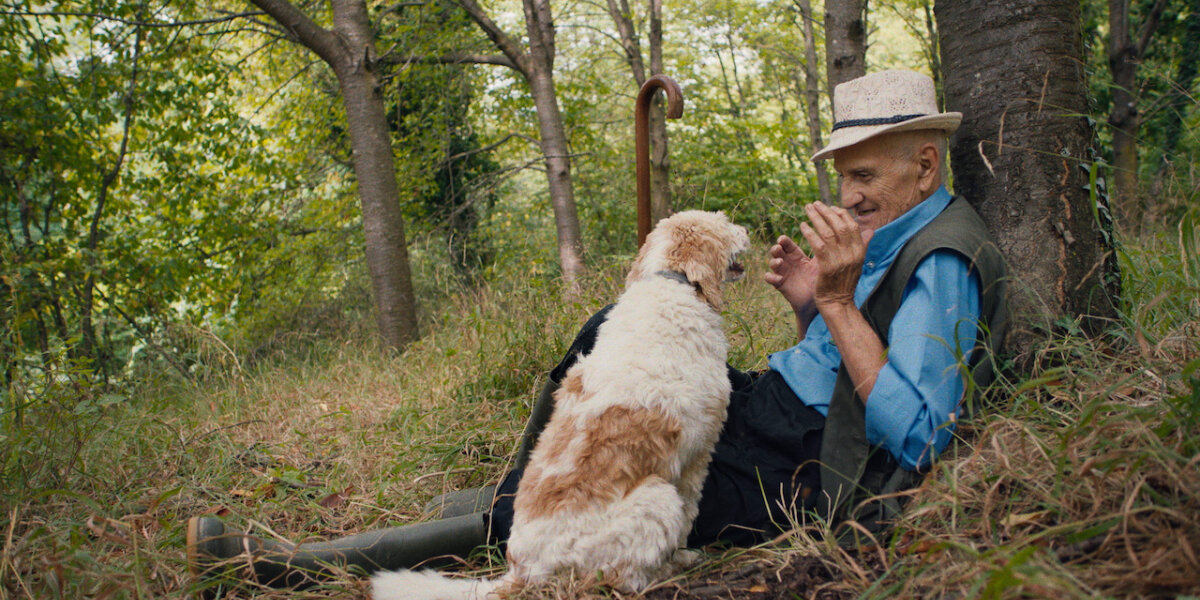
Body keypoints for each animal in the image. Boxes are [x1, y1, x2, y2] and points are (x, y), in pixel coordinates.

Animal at [374, 211, 748, 600]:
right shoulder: (698, 454)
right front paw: (685, 549)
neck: (670, 283)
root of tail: (524, 570)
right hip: (657, 499)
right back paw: (677, 565)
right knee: (623, 577)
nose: (746, 230)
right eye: (723, 223)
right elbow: (691, 509)